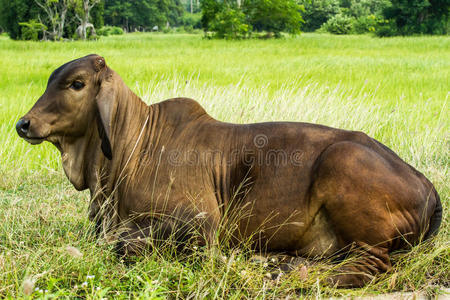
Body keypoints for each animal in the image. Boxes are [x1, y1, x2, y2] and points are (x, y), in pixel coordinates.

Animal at [16, 55, 440, 288]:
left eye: (76, 83)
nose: (24, 124)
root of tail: (428, 187)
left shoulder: (201, 221)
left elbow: (124, 244)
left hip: (345, 168)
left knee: (371, 265)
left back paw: (288, 274)